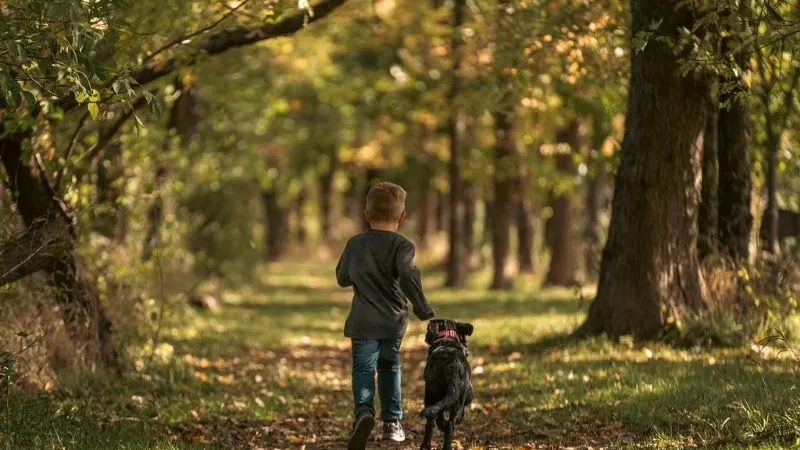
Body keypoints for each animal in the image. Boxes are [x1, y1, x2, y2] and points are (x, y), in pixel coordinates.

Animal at [422, 320, 472, 450]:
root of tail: (451, 367)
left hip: (431, 396)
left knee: (432, 422)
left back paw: (426, 445)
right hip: (458, 400)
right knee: (451, 424)